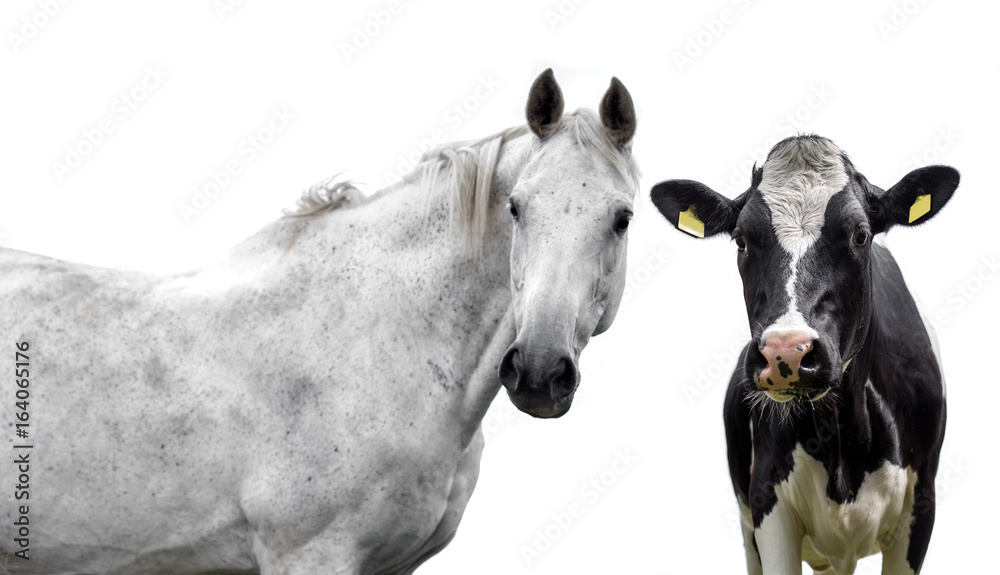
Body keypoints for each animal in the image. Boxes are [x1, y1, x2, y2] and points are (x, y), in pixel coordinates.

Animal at [652, 136, 956, 575]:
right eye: (741, 239)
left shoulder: (921, 505)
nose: (787, 353)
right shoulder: (767, 501)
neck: (844, 441)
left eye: (860, 235)